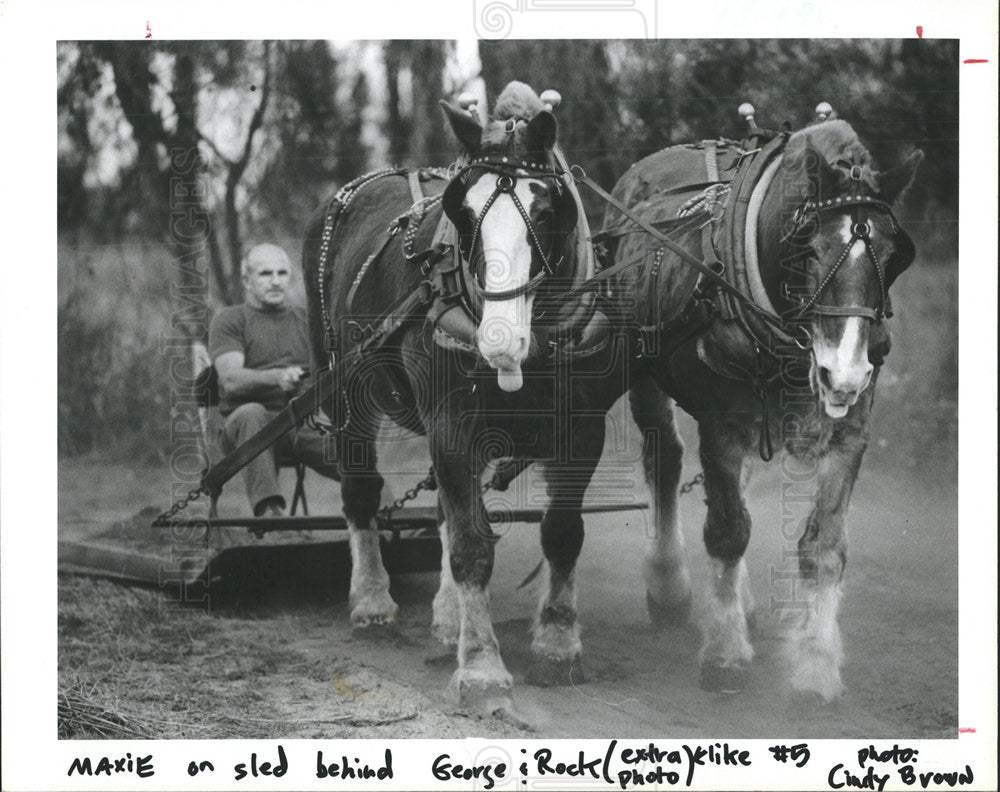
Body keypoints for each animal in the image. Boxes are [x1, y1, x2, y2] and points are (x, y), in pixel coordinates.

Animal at [600, 116, 920, 700]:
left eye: (892, 256)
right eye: (807, 249)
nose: (842, 375)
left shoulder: (851, 431)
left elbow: (823, 545)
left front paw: (816, 665)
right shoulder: (721, 423)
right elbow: (727, 530)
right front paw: (725, 654)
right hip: (644, 370)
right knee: (665, 458)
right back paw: (669, 586)